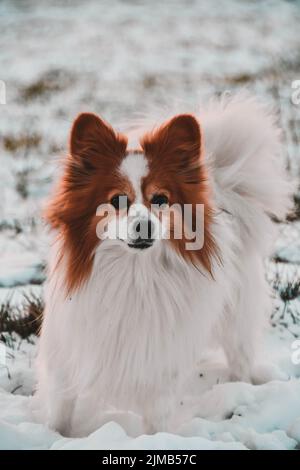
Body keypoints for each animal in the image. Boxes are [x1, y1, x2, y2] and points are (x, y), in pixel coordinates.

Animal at [34, 92, 292, 436]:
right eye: (117, 200)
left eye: (160, 199)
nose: (144, 225)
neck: (133, 273)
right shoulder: (67, 354)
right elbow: (61, 410)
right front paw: (55, 436)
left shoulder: (159, 364)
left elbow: (157, 420)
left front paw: (157, 440)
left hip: (236, 318)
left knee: (240, 357)